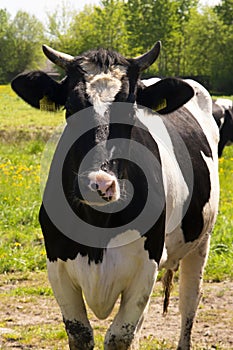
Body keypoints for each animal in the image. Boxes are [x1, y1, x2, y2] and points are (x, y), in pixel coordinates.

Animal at [11, 42, 219, 348]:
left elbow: (119, 336)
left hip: (201, 242)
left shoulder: (146, 266)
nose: (98, 184)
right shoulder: (57, 265)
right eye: (70, 108)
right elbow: (81, 333)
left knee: (189, 303)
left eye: (130, 112)